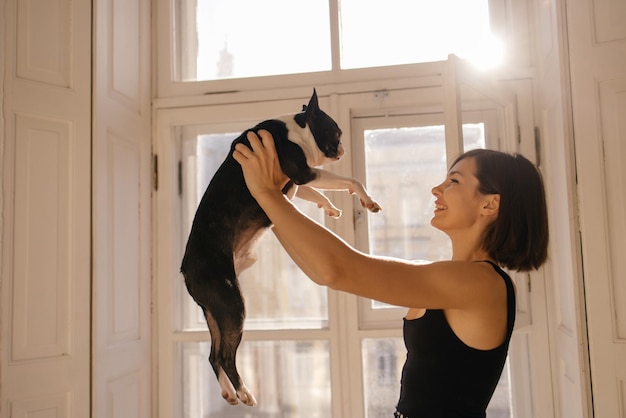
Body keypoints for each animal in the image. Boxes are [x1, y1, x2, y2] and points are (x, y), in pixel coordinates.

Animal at [180, 90, 380, 406]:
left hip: (214, 311)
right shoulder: (303, 172)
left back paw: (228, 391)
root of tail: (186, 269)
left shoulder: (296, 180)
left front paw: (330, 207)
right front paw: (364, 199)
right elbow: (348, 180)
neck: (297, 131)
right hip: (232, 304)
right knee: (224, 355)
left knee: (213, 354)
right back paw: (244, 391)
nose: (342, 149)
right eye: (336, 132)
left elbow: (315, 193)